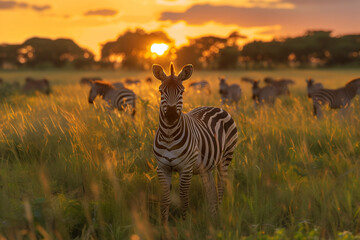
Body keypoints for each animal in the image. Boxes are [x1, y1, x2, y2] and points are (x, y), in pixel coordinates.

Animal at [153, 63, 239, 225]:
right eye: (161, 91)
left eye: (182, 91)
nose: (171, 116)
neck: (168, 135)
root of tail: (215, 106)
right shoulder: (162, 167)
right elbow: (165, 198)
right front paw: (164, 226)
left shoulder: (186, 168)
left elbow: (184, 198)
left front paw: (184, 224)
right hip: (206, 165)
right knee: (210, 189)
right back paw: (212, 216)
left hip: (226, 157)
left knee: (220, 186)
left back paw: (218, 216)